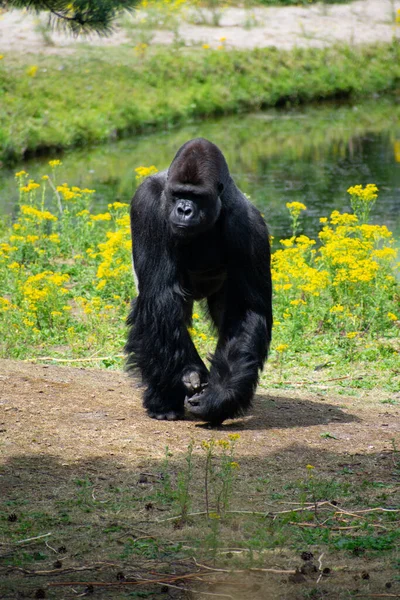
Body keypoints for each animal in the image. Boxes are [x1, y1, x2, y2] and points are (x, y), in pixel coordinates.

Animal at [126, 138, 274, 424]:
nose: (184, 209)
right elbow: (160, 296)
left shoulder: (250, 225)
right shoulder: (146, 202)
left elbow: (248, 312)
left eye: (197, 196)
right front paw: (189, 373)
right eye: (178, 193)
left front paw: (221, 396)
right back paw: (163, 401)